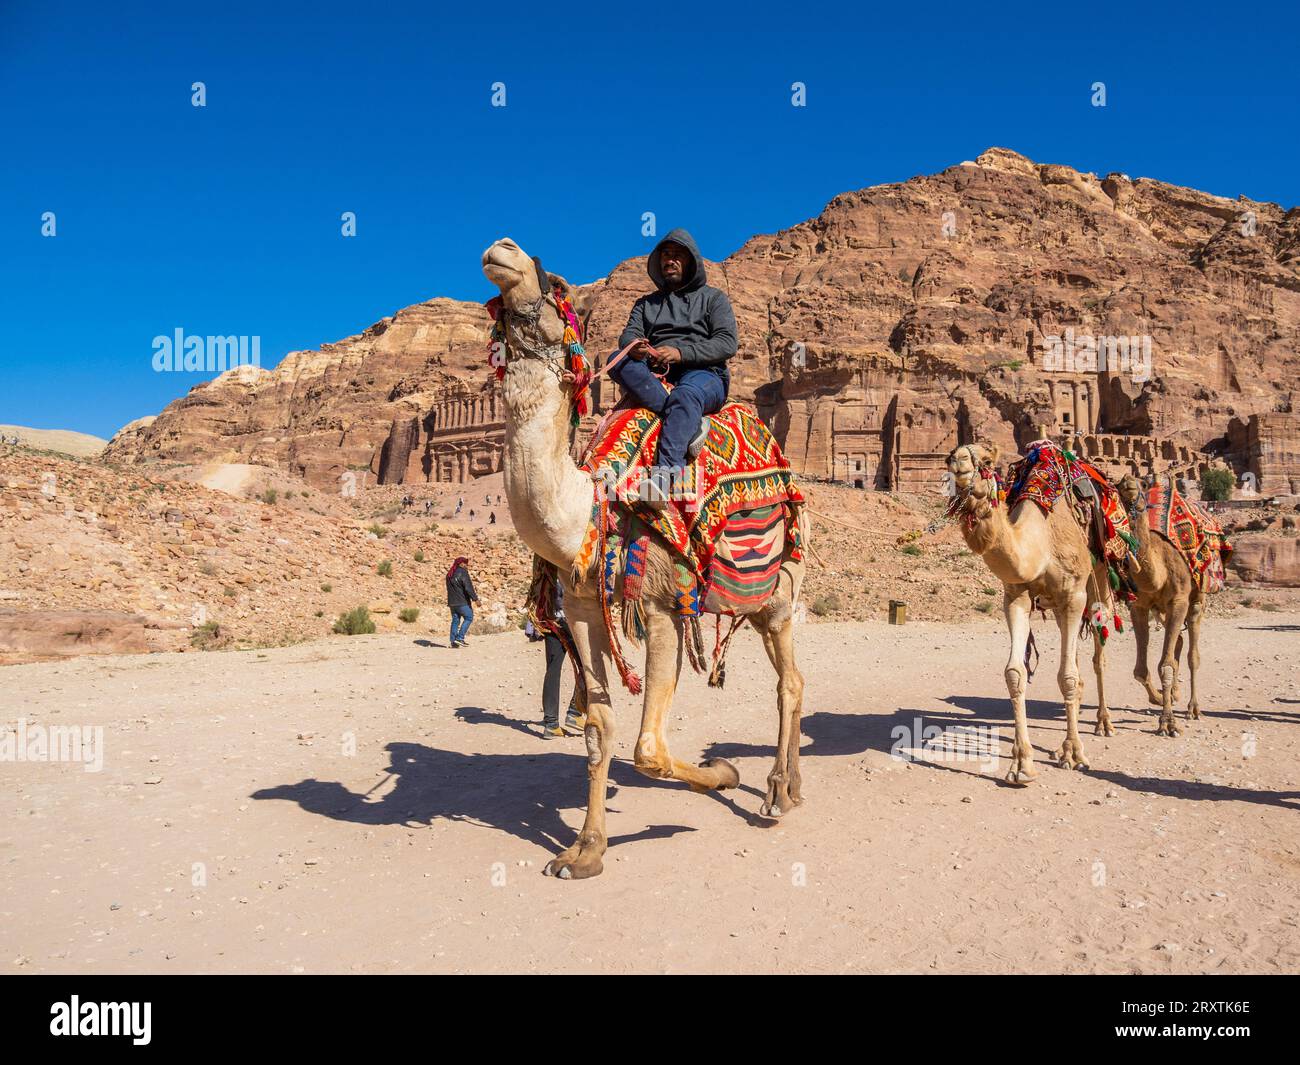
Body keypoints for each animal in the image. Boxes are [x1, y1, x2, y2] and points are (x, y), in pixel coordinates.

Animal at [481, 237, 807, 880]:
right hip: (753, 600)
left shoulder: (661, 604)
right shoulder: (584, 607)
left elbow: (649, 749)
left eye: (556, 284)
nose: (503, 249)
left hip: (779, 587)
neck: (590, 506)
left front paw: (723, 773)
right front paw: (584, 851)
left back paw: (778, 793)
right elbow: (598, 730)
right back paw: (789, 786)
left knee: (791, 681)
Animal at [946, 442, 1116, 786]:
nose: (958, 462)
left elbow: (1067, 675)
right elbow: (1015, 674)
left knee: (1098, 646)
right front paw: (1022, 765)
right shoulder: (1015, 597)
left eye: (987, 460)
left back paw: (1103, 722)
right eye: (950, 456)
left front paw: (1074, 754)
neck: (1041, 543)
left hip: (1099, 577)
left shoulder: (1073, 595)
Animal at [1116, 474, 1201, 737]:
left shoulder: (1179, 601)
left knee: (1192, 654)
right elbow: (1141, 670)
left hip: (1196, 600)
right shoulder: (1139, 606)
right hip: (1162, 611)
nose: (1128, 481)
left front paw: (1168, 722)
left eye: (1142, 484)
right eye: (1116, 484)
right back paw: (1174, 694)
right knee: (1179, 642)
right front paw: (1160, 697)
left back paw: (1193, 708)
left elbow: (1166, 665)